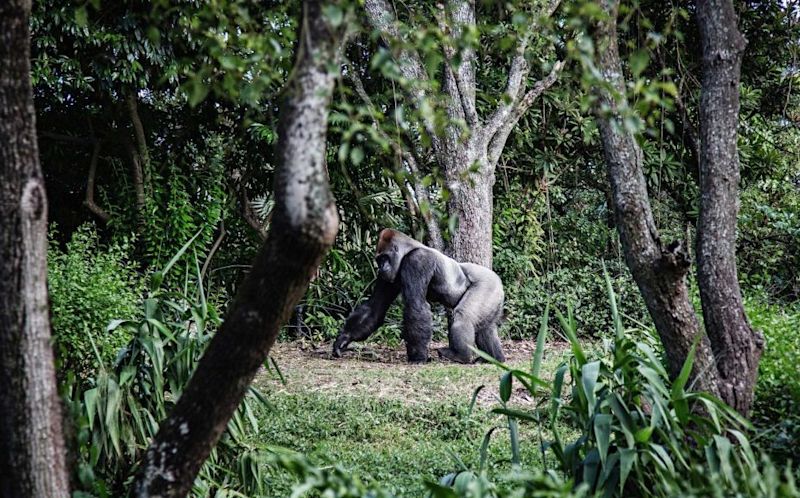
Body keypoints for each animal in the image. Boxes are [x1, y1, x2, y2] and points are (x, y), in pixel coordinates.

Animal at [332, 229, 506, 362]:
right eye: (379, 260)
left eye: (385, 258)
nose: (381, 268)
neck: (408, 249)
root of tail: (498, 280)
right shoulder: (388, 276)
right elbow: (375, 307)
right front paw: (344, 338)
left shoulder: (417, 261)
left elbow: (415, 305)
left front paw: (418, 357)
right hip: (494, 295)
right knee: (486, 328)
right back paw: (494, 358)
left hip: (488, 284)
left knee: (464, 316)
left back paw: (460, 356)